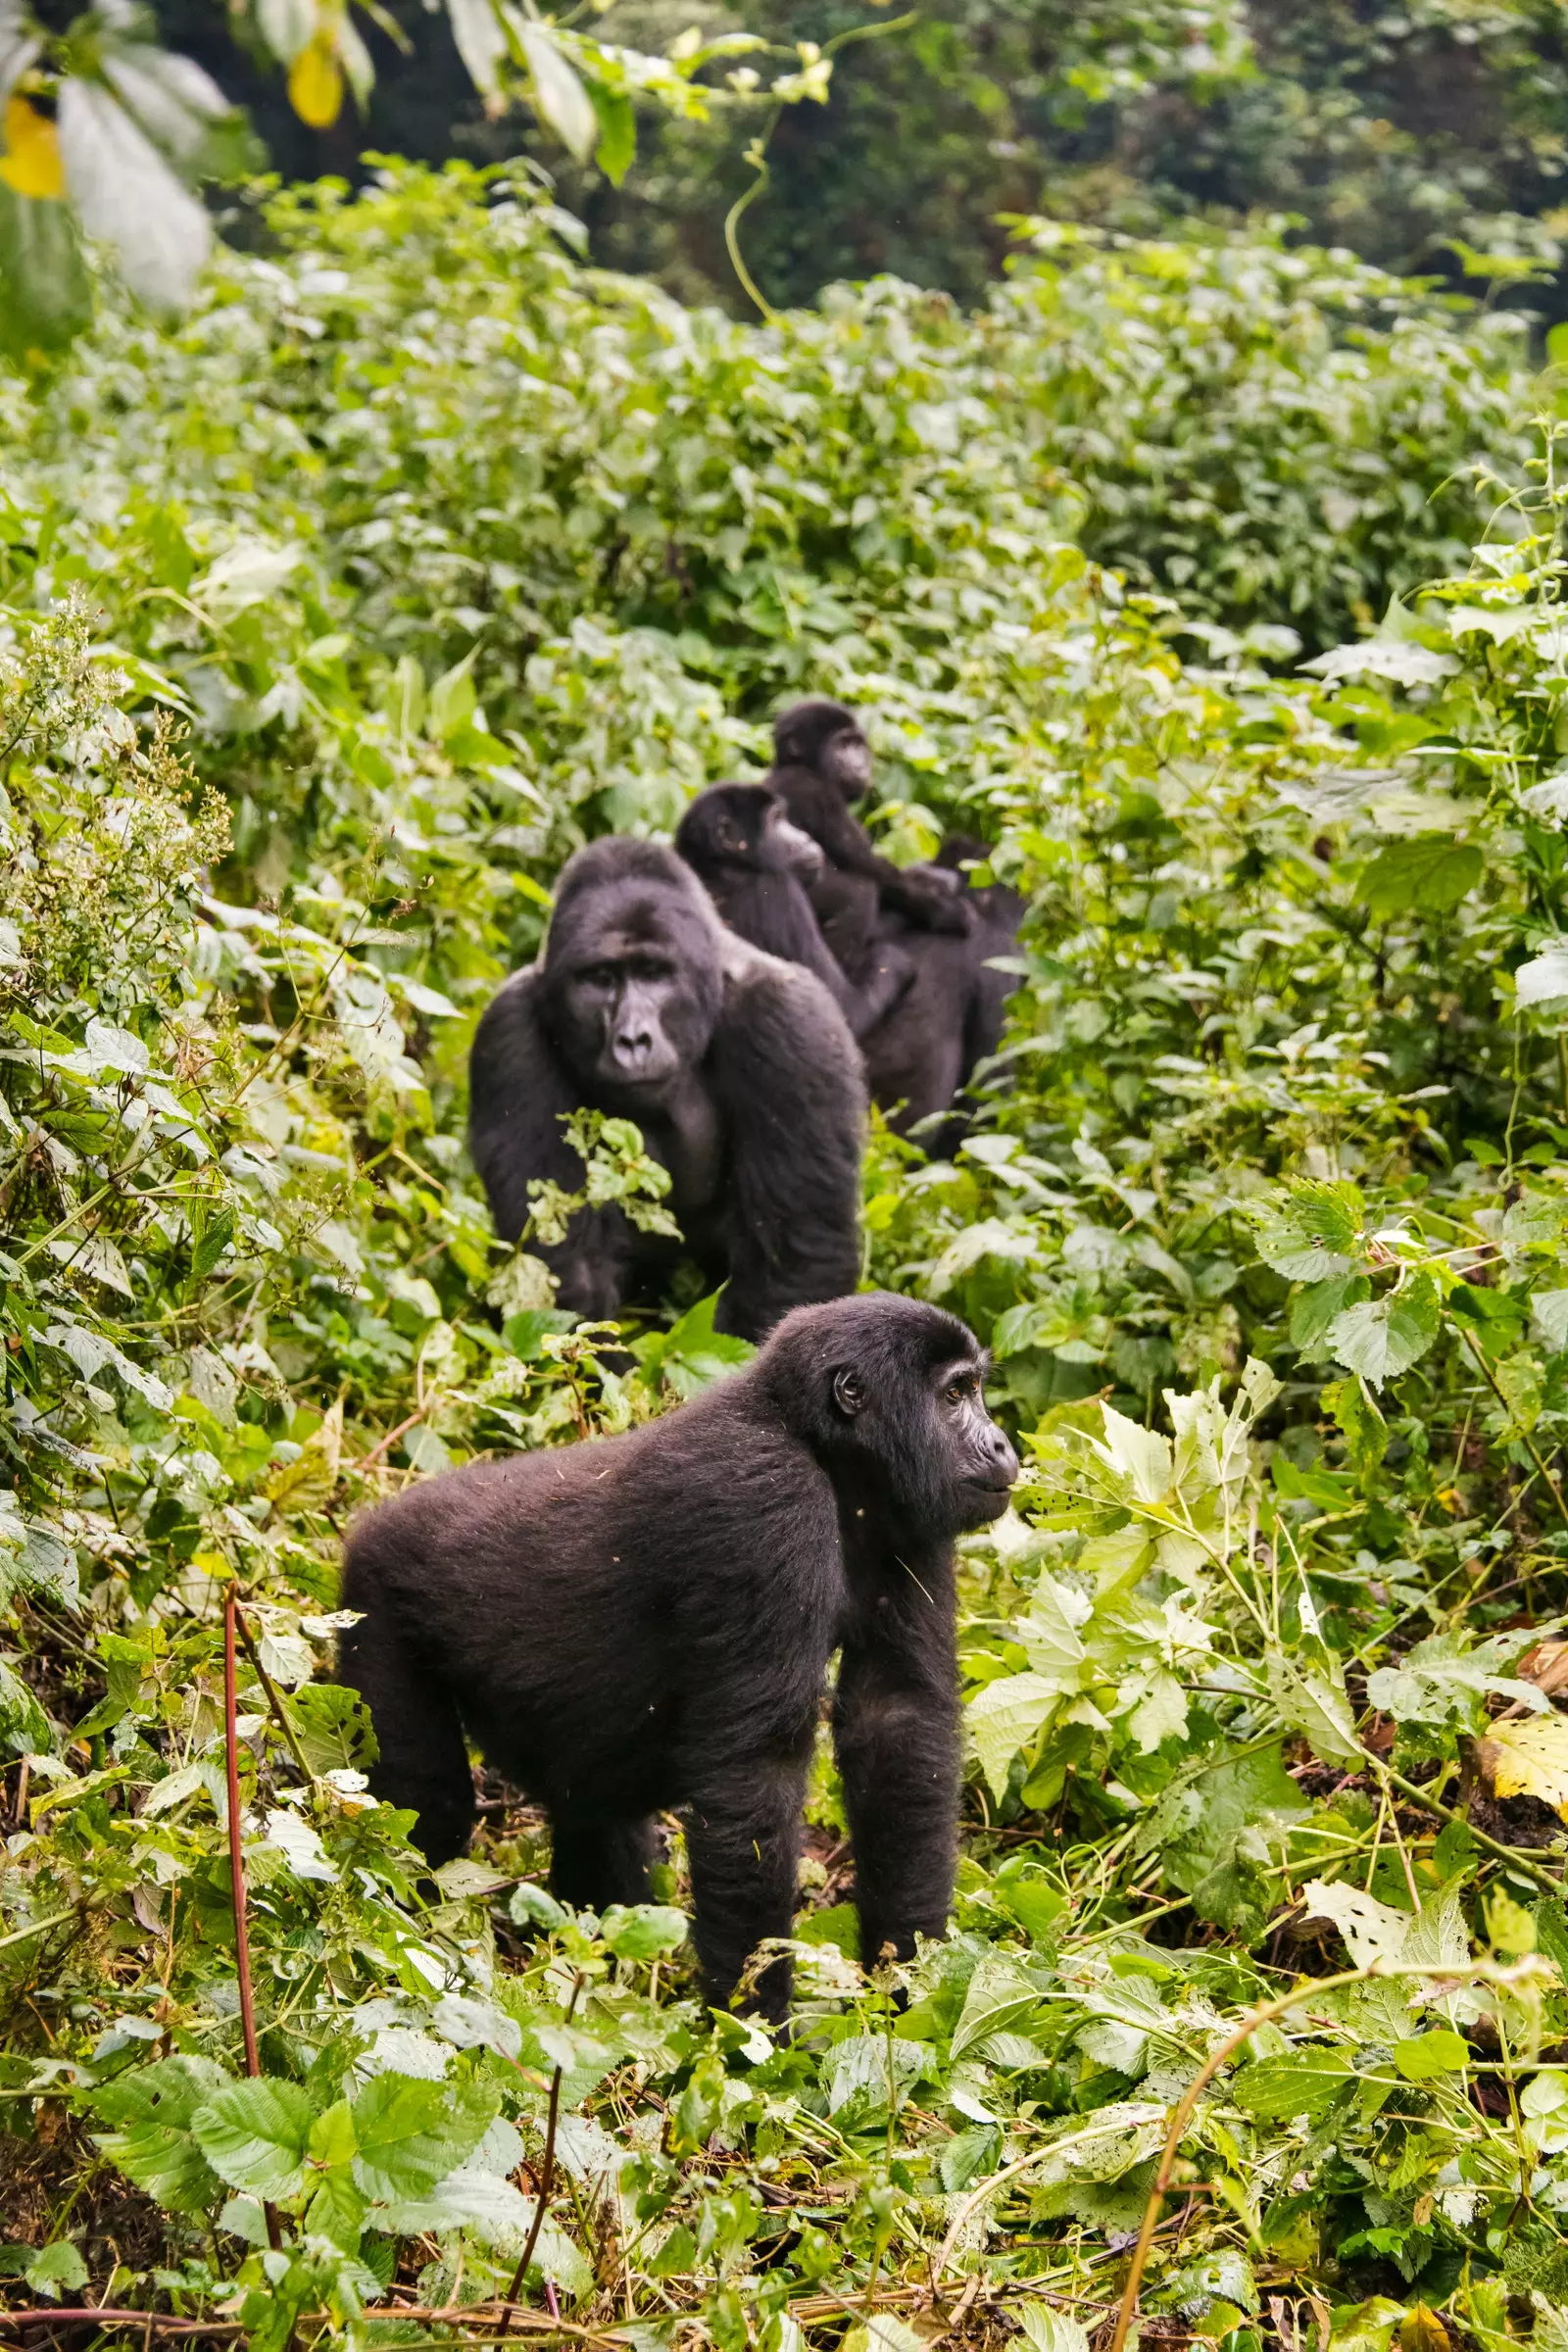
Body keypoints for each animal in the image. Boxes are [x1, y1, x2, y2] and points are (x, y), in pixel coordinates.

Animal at [338, 1289, 1020, 2023]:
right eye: (955, 1395)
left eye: (972, 1389)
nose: (1002, 1443)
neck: (813, 1438)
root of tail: (370, 1524)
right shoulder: (764, 1502)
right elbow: (755, 1778)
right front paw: (753, 2033)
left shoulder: (909, 1516)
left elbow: (898, 1721)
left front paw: (908, 1985)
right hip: (375, 1601)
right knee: (427, 1813)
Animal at [465, 837, 864, 1345]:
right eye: (601, 978)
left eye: (654, 973)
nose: (633, 1039)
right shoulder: (507, 1031)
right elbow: (562, 1269)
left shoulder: (790, 1020)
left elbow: (795, 1259)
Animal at [676, 780, 921, 1039]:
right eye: (775, 820)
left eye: (783, 817)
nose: (806, 838)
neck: (723, 867)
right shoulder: (778, 891)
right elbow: (845, 1012)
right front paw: (891, 958)